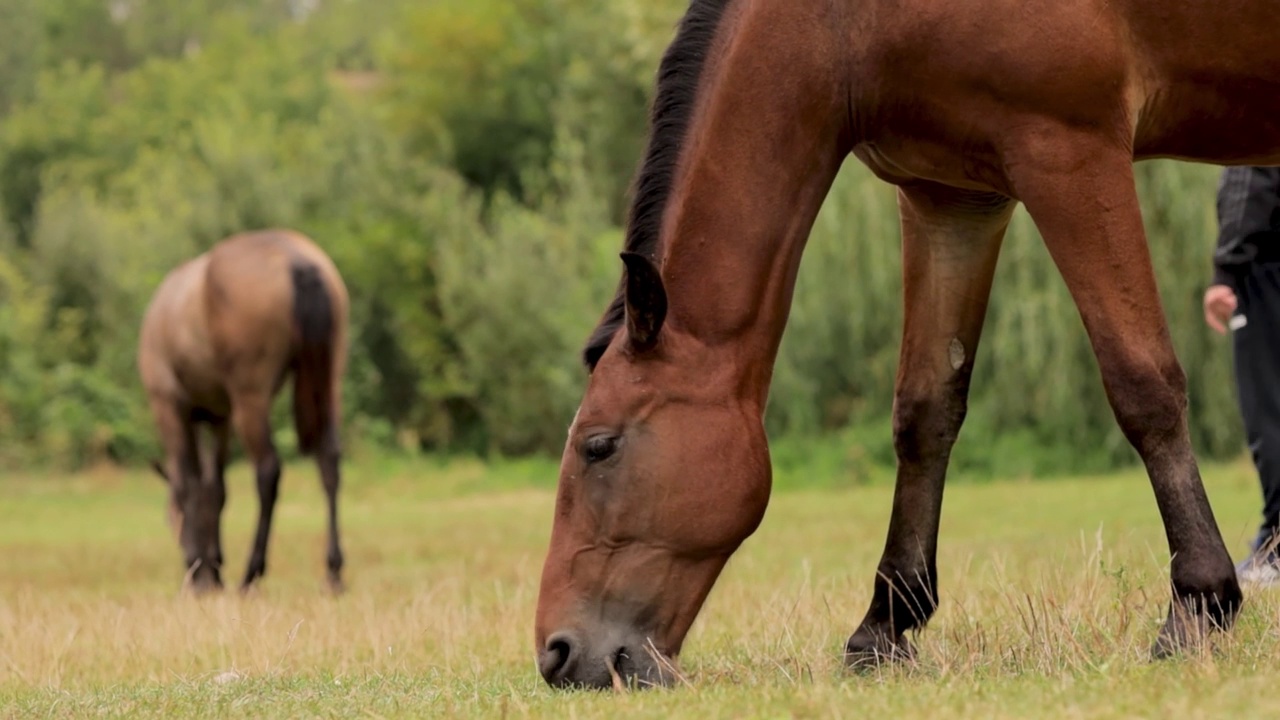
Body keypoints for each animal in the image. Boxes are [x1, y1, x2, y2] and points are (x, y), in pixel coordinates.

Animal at [138, 229, 350, 594]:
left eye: (170, 518)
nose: (197, 569)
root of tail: (297, 261)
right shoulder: (219, 418)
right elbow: (215, 488)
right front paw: (212, 568)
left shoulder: (169, 405)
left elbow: (189, 483)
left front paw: (200, 570)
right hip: (328, 384)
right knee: (329, 461)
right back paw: (333, 572)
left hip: (250, 399)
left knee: (268, 471)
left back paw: (252, 573)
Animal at [529, 0, 1280, 686]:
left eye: (599, 446)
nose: (557, 655)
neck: (843, 24)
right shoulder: (949, 196)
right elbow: (925, 413)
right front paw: (884, 627)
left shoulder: (1069, 150)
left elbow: (1141, 382)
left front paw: (1197, 605)